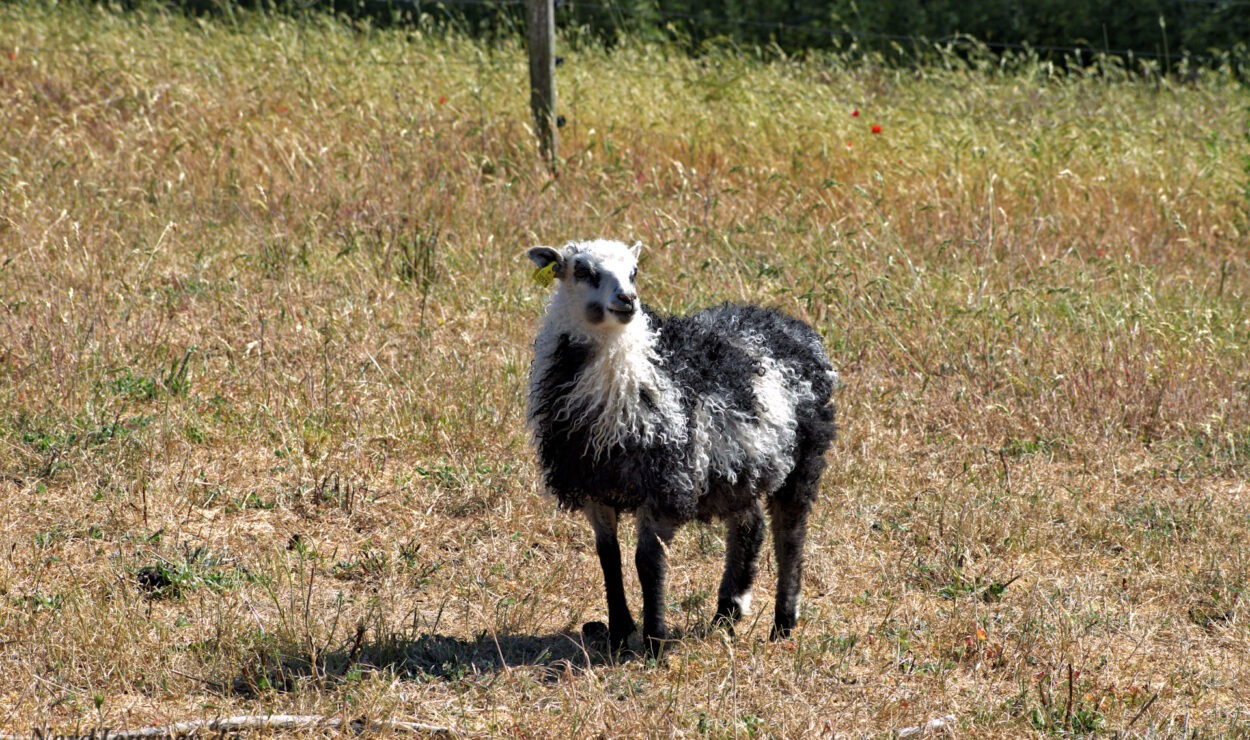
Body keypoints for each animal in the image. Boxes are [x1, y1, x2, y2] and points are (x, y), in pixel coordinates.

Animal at [522, 240, 835, 655]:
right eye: (584, 271)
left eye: (635, 271)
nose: (628, 300)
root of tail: (787, 322)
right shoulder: (592, 484)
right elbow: (609, 556)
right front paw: (619, 633)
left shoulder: (666, 482)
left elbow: (648, 561)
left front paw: (654, 641)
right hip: (739, 464)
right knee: (750, 526)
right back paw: (728, 611)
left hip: (805, 456)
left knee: (790, 535)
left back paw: (783, 623)